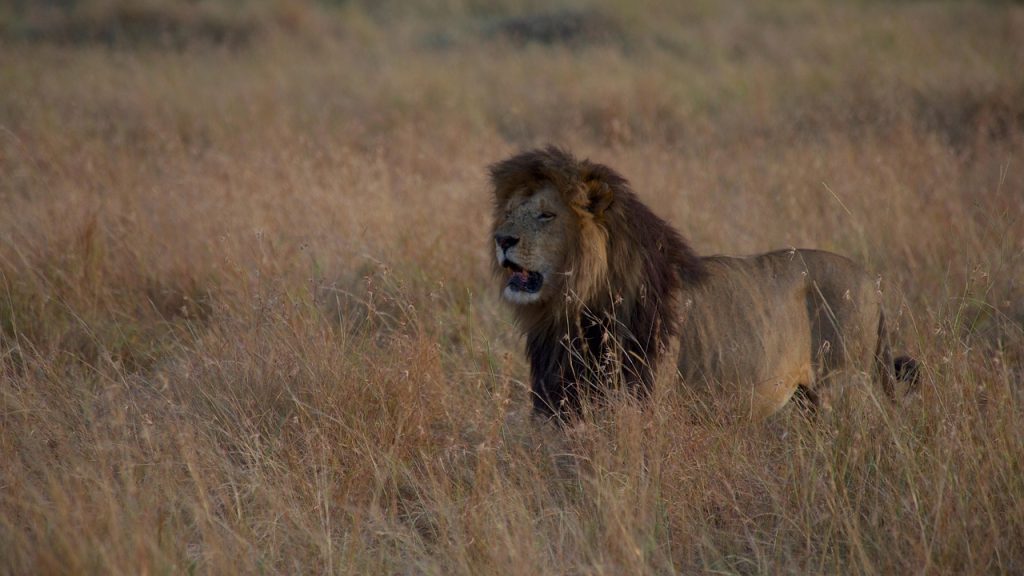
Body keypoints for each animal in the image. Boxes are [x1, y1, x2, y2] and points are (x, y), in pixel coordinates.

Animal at [489, 146, 918, 421]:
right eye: (509, 212)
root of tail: (871, 281)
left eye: (546, 215)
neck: (572, 309)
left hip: (843, 388)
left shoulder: (647, 401)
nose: (501, 239)